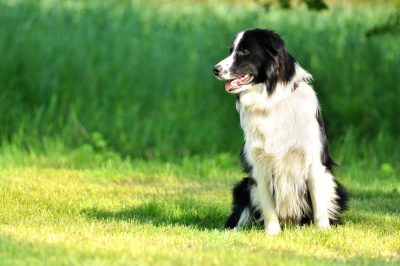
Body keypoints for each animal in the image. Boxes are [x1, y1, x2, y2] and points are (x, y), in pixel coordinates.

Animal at [212, 28, 346, 235]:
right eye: (231, 50)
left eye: (244, 51)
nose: (215, 69)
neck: (272, 100)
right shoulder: (259, 163)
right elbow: (267, 205)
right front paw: (273, 234)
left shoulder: (314, 161)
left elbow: (319, 203)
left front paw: (323, 231)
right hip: (243, 186)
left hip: (335, 185)